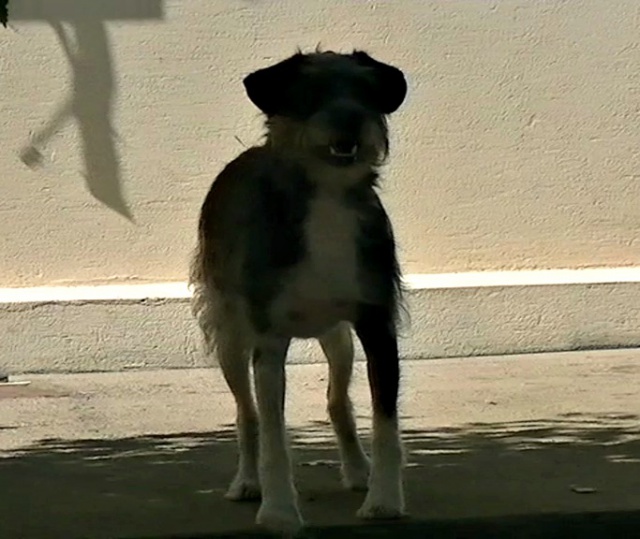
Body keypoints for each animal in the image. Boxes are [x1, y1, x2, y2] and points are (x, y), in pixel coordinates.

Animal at [190, 49, 408, 536]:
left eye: (366, 93)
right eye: (310, 94)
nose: (350, 121)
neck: (327, 196)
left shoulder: (378, 327)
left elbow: (385, 423)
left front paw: (384, 500)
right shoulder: (268, 342)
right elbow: (274, 436)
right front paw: (278, 512)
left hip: (340, 340)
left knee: (338, 402)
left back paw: (358, 470)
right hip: (231, 339)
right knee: (247, 413)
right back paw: (247, 481)